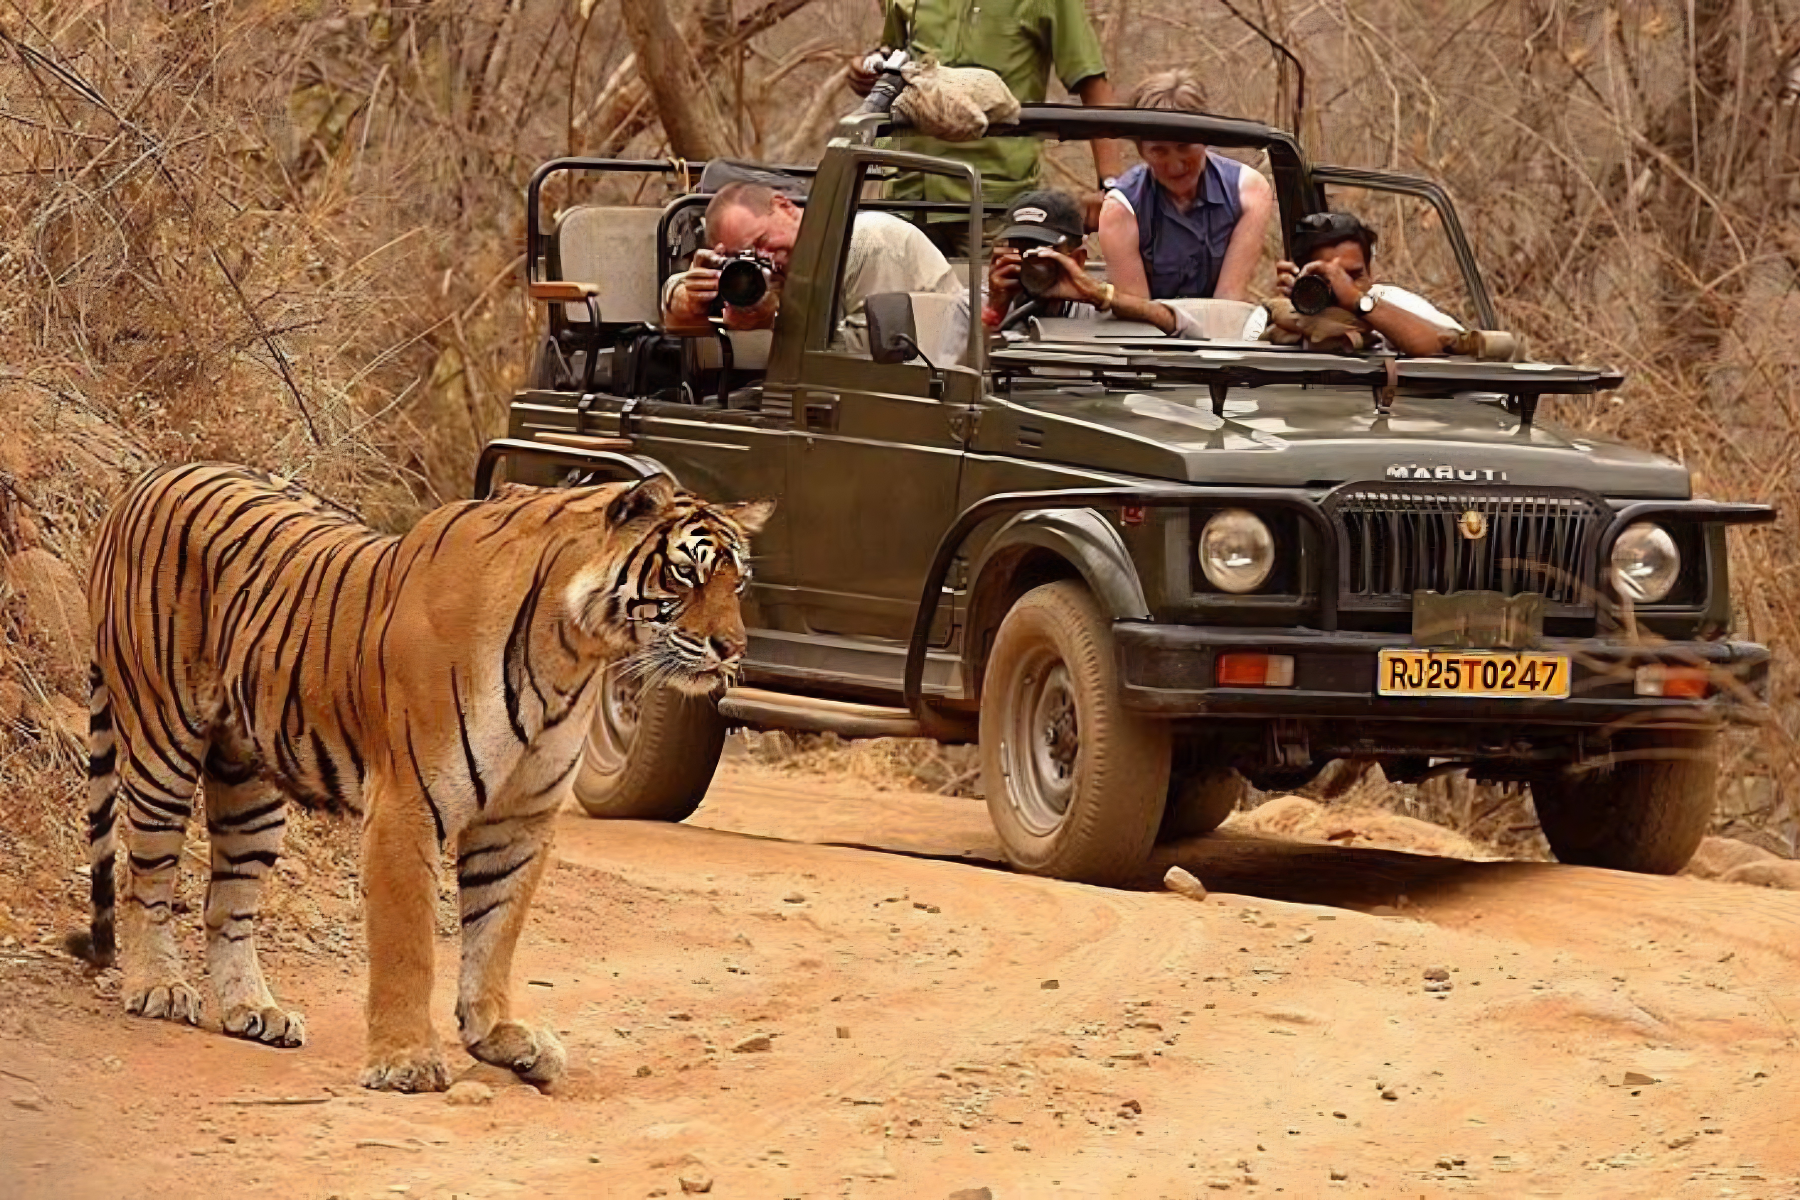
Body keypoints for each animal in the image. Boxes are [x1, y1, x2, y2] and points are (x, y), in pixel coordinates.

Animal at [67, 463, 770, 1093]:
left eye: (737, 583)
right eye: (685, 572)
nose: (732, 650)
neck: (573, 651)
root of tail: (144, 481)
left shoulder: (518, 818)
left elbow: (495, 932)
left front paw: (499, 1036)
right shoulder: (408, 805)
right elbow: (409, 944)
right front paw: (404, 1060)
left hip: (250, 783)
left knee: (228, 901)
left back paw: (253, 1011)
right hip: (162, 742)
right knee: (146, 878)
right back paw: (159, 987)